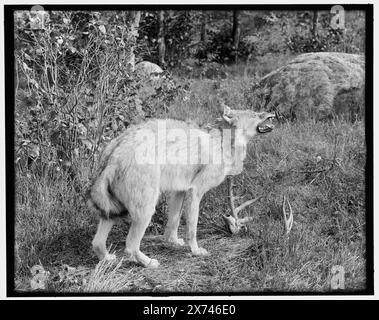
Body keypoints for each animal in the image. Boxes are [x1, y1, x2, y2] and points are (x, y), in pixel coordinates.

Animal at [87, 105, 274, 268]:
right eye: (254, 114)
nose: (272, 112)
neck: (222, 142)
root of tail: (114, 152)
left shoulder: (180, 191)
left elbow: (173, 222)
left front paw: (174, 242)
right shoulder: (196, 191)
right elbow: (192, 228)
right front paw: (196, 251)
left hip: (113, 212)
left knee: (97, 243)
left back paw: (107, 259)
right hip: (146, 211)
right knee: (130, 246)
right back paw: (149, 263)